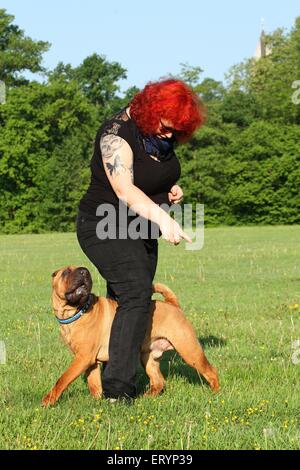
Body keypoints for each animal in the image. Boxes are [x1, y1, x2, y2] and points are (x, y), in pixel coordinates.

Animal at [41, 266, 220, 406]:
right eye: (66, 272)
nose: (85, 271)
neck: (78, 311)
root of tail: (172, 304)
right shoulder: (90, 361)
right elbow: (94, 384)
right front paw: (97, 401)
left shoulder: (82, 358)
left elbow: (63, 379)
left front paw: (49, 400)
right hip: (148, 358)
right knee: (158, 382)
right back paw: (146, 397)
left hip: (189, 349)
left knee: (211, 371)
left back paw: (216, 394)